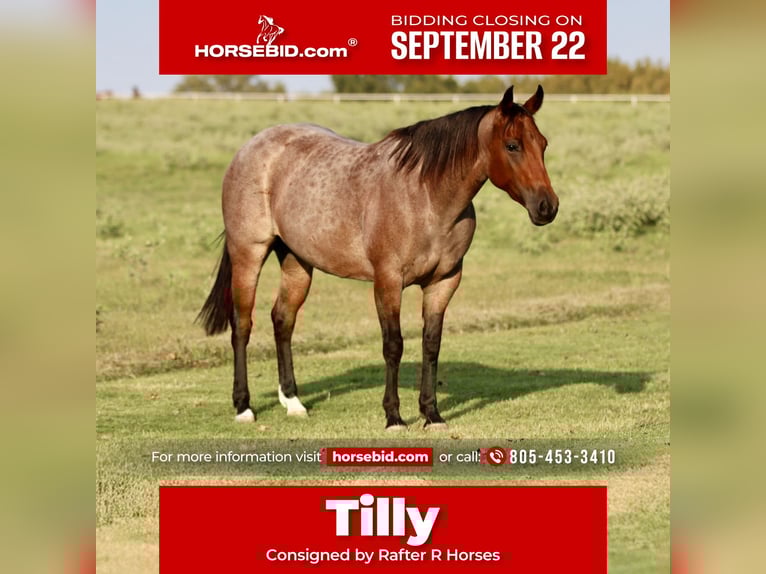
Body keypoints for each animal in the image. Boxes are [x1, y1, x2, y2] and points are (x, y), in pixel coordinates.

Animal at [198, 85, 558, 430]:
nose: (547, 207)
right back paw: (244, 407)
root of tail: (251, 147)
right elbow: (393, 345)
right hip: (248, 254)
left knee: (282, 320)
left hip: (296, 262)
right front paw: (394, 417)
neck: (426, 198)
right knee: (242, 325)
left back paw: (293, 402)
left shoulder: (443, 282)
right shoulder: (388, 281)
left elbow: (431, 344)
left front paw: (432, 414)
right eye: (512, 145)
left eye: (542, 144)